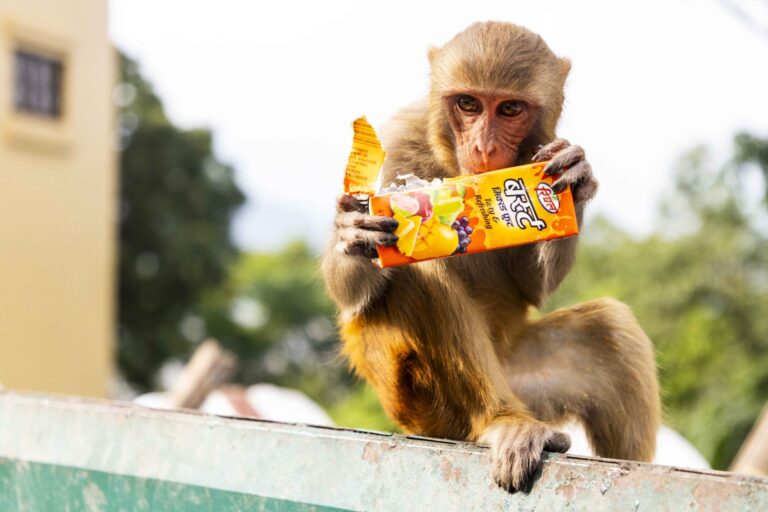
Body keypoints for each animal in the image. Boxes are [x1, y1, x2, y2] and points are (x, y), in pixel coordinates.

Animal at [322, 22, 660, 492]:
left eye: (510, 109)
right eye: (468, 104)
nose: (483, 148)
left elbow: (532, 288)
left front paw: (576, 178)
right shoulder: (395, 146)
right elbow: (353, 298)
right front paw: (352, 231)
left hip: (530, 384)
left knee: (611, 330)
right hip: (420, 404)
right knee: (419, 276)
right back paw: (503, 421)